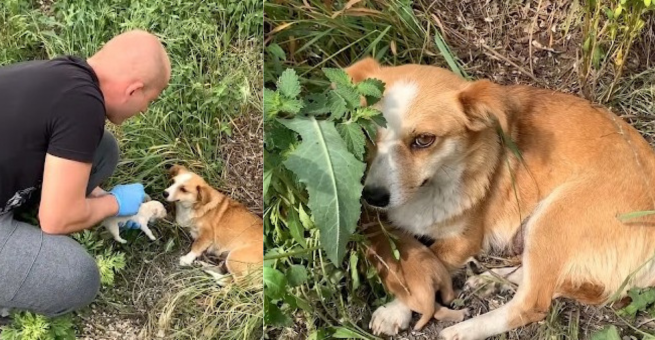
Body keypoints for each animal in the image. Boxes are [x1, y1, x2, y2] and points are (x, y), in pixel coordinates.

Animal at [348, 57, 655, 338]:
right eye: (368, 132)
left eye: (424, 140)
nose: (372, 196)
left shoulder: (464, 240)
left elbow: (429, 265)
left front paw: (393, 310)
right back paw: (491, 280)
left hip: (552, 219)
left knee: (532, 303)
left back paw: (462, 330)